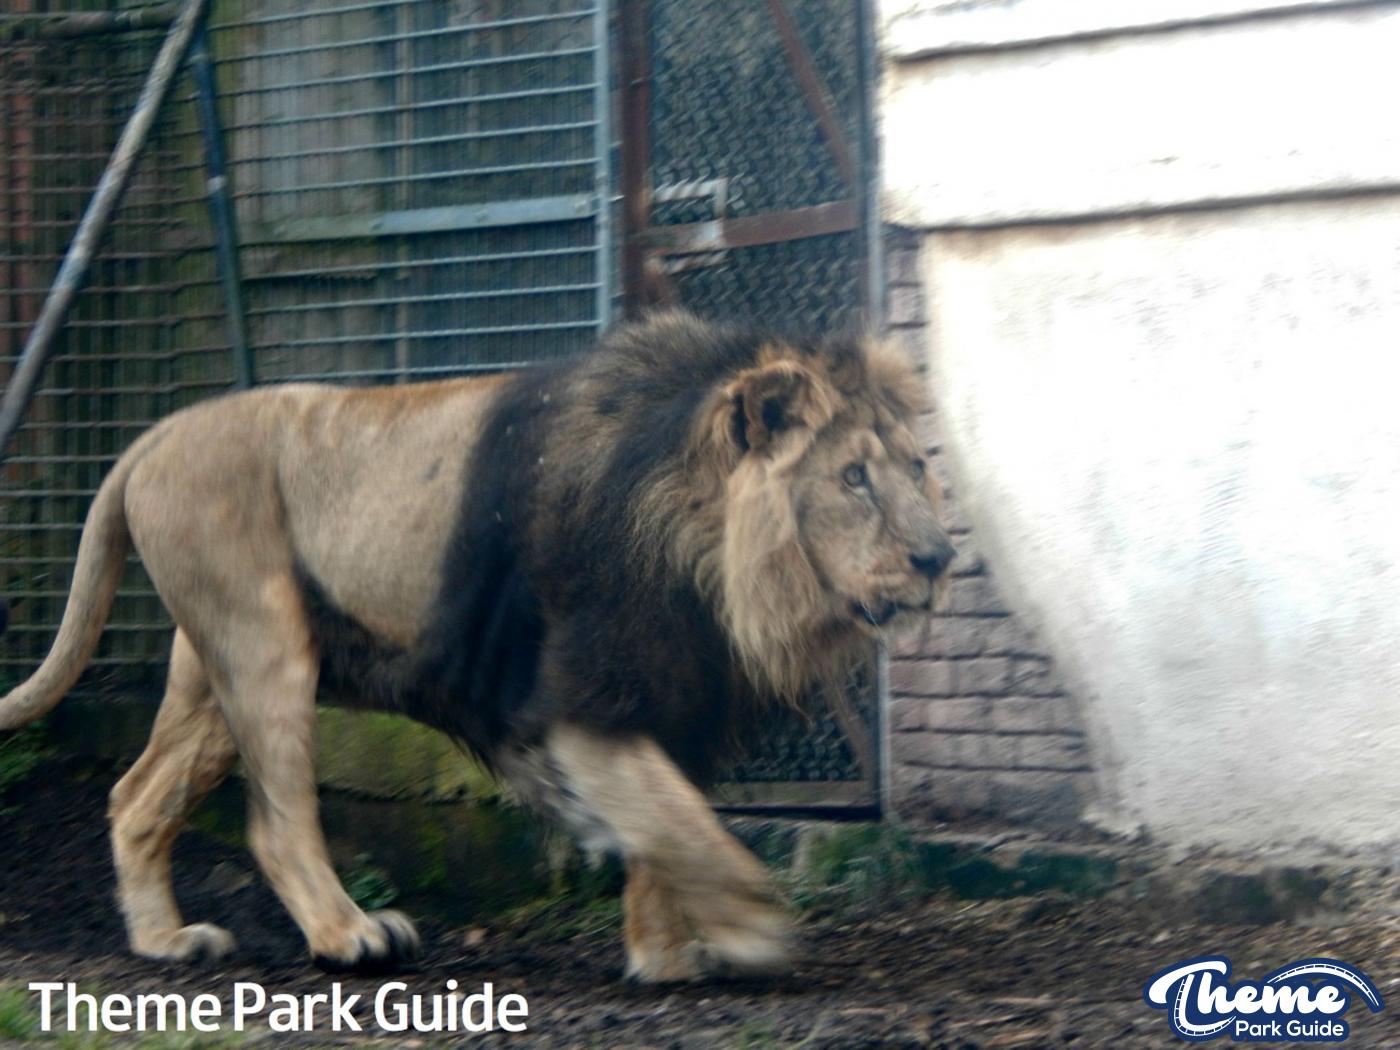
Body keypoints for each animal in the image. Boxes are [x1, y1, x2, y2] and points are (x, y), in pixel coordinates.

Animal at [0, 311, 954, 981]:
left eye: (915, 468)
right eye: (852, 478)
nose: (938, 558)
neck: (709, 561)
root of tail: (151, 439)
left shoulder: (675, 696)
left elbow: (666, 826)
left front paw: (665, 956)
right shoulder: (580, 701)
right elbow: (681, 822)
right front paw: (754, 927)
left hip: (210, 675)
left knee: (135, 795)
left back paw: (167, 940)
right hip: (262, 643)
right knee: (275, 820)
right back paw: (350, 934)